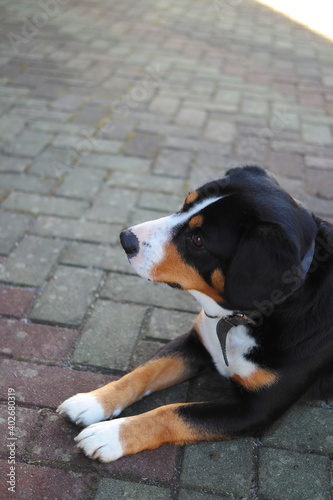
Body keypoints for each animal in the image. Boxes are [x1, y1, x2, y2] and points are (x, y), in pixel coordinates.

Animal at [57, 167, 332, 460]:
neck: (239, 321)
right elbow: (141, 374)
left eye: (198, 240)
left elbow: (173, 412)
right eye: (185, 204)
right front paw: (92, 402)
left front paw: (109, 435)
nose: (126, 239)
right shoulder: (196, 342)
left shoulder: (256, 408)